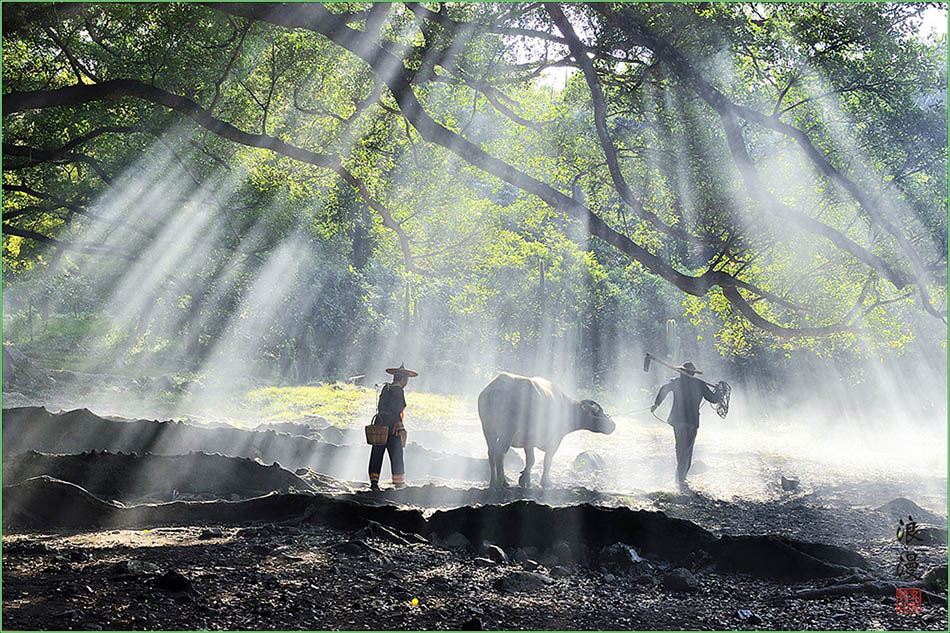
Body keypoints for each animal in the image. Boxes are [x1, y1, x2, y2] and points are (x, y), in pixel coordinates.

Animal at [476, 370, 616, 488]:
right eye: (599, 412)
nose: (613, 424)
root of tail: (494, 390)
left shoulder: (529, 441)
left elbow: (531, 460)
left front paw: (525, 480)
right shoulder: (555, 441)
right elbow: (547, 460)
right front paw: (545, 482)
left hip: (487, 430)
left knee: (491, 453)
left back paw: (493, 482)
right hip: (507, 431)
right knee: (500, 452)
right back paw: (502, 482)